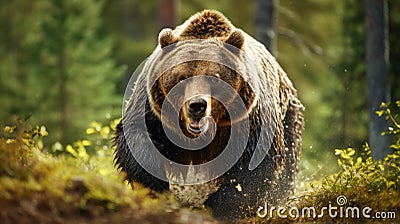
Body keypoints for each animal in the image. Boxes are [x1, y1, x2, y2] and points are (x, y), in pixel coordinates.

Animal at [112, 9, 304, 220]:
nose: (197, 105)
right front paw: (160, 189)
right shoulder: (154, 108)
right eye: (182, 77)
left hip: (289, 115)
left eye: (215, 78)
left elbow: (255, 163)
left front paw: (221, 206)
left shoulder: (249, 118)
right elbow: (137, 140)